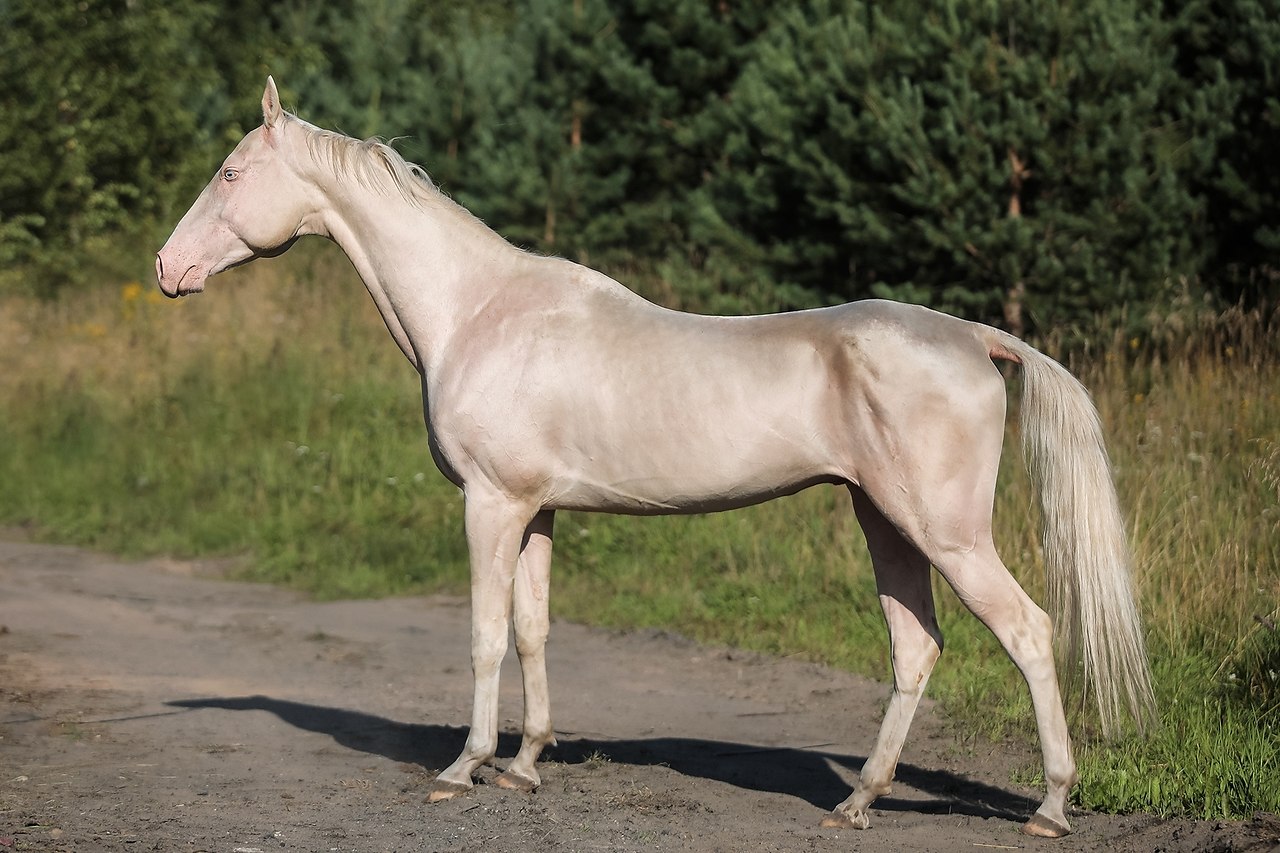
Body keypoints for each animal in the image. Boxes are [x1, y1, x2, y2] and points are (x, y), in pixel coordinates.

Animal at [154, 76, 1157, 835]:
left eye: (230, 170)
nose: (168, 270)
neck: (479, 311)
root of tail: (976, 337)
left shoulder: (491, 504)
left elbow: (484, 634)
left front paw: (464, 766)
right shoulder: (537, 510)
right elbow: (533, 629)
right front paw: (525, 764)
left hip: (944, 531)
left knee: (1028, 630)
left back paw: (1049, 807)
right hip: (885, 522)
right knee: (916, 647)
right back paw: (859, 801)